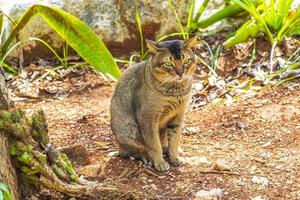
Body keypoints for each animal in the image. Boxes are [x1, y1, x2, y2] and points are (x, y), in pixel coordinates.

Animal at [109, 36, 197, 171]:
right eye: (168, 63)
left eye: (186, 61)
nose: (180, 73)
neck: (175, 93)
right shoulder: (148, 119)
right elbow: (154, 145)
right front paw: (160, 163)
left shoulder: (178, 116)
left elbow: (174, 141)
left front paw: (175, 158)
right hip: (130, 130)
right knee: (129, 151)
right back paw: (146, 157)